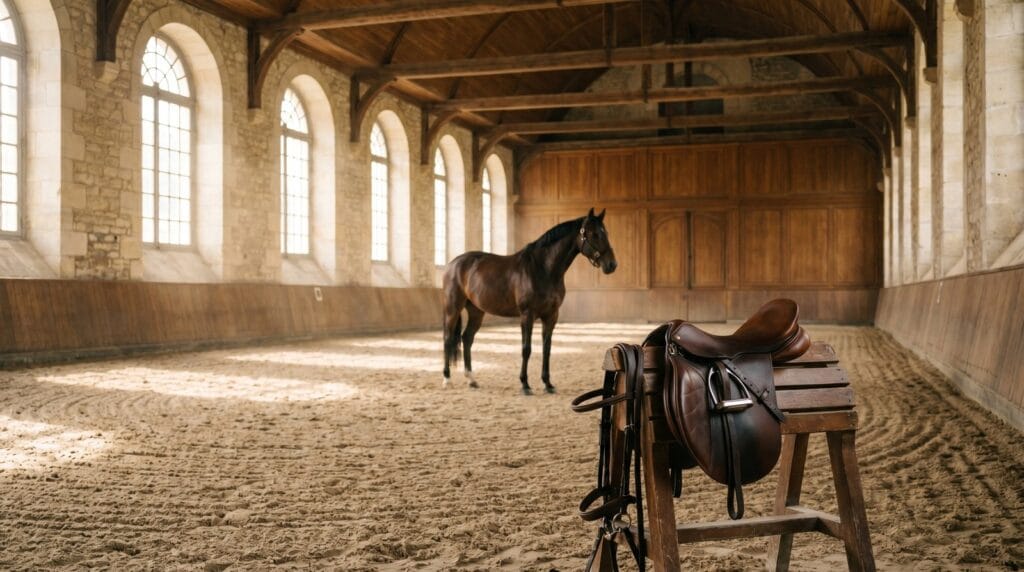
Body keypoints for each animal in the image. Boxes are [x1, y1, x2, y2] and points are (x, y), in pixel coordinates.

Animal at [442, 208, 618, 394]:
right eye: (593, 234)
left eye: (605, 233)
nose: (612, 264)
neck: (543, 269)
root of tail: (452, 264)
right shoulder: (527, 315)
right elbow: (526, 349)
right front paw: (525, 384)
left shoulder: (551, 315)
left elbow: (547, 349)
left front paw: (548, 384)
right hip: (452, 309)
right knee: (447, 339)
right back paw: (447, 379)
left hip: (476, 311)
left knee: (467, 338)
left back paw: (471, 380)